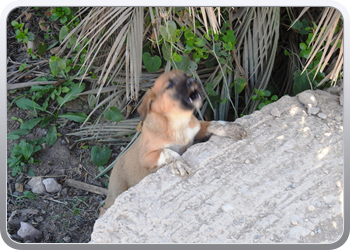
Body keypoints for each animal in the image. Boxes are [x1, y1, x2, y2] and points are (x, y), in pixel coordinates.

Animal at [98, 70, 246, 217]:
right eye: (170, 85)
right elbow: (167, 151)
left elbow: (214, 123)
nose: (192, 80)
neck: (177, 122)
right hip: (116, 193)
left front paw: (231, 128)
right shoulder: (146, 157)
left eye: (186, 75)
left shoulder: (197, 129)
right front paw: (179, 163)